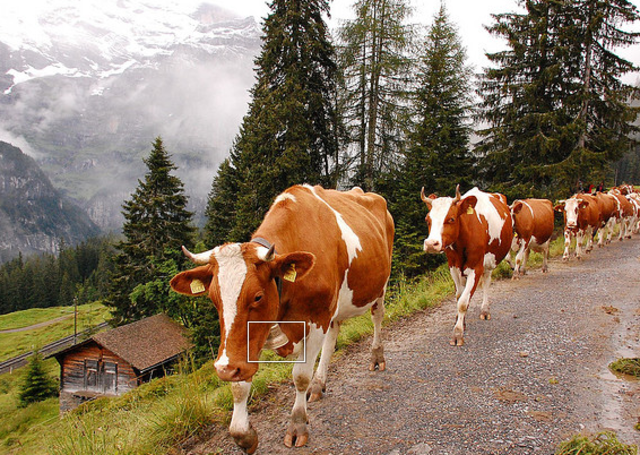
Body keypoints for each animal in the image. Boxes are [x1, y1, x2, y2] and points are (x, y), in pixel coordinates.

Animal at [170, 184, 394, 453]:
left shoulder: (316, 319)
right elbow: (239, 385)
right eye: (214, 299)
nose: (223, 369)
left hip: (380, 285)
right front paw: (243, 434)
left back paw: (376, 357)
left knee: (377, 318)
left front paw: (297, 425)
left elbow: (300, 376)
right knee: (334, 335)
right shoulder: (252, 337)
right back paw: (319, 384)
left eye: (257, 296)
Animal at [421, 186, 513, 346]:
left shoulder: (476, 268)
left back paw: (485, 310)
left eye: (451, 219)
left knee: (487, 283)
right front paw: (460, 323)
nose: (431, 244)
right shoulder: (453, 267)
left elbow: (463, 302)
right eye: (427, 220)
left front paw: (457, 334)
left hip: (489, 261)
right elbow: (459, 296)